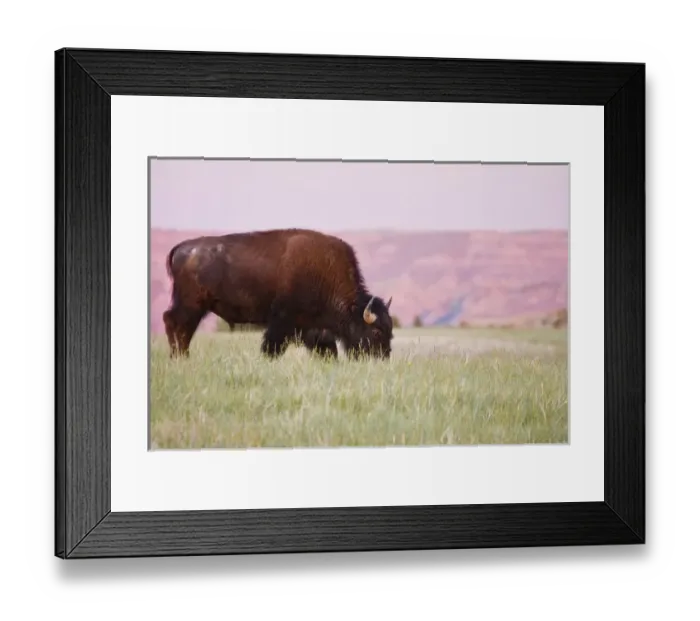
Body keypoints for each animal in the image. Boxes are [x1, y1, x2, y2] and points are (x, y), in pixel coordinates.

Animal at [162, 228, 394, 360]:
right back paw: (180, 358)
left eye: (390, 331)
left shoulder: (314, 328)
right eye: (376, 332)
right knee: (175, 323)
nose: (382, 358)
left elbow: (327, 350)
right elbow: (272, 347)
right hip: (191, 304)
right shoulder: (282, 321)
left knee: (181, 327)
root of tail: (181, 248)